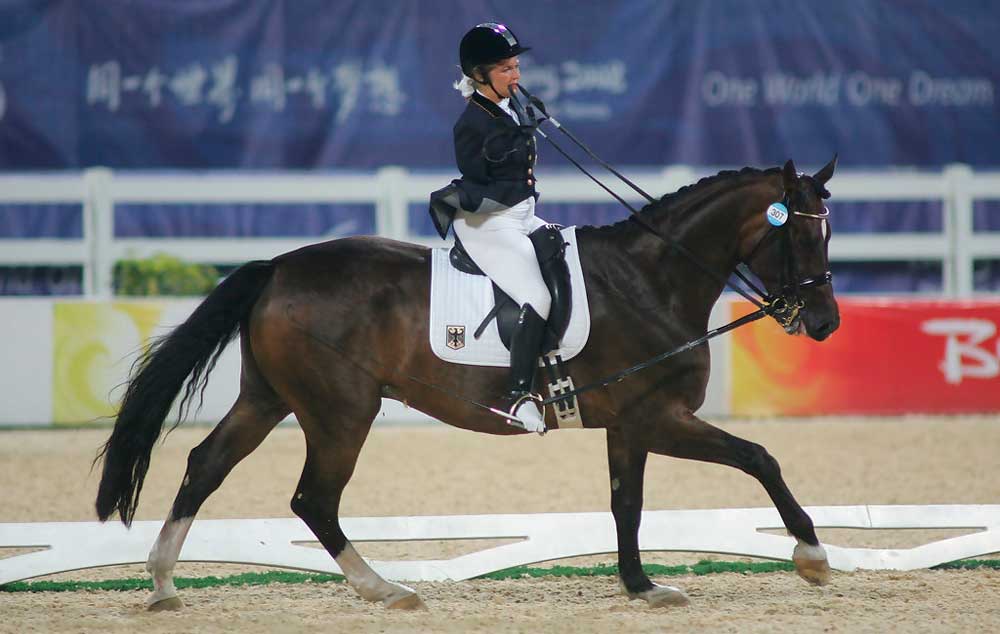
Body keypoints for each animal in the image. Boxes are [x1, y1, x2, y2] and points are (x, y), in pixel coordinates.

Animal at [95, 157, 844, 608]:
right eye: (802, 238)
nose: (826, 323)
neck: (651, 278)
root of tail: (276, 266)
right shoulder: (657, 415)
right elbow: (760, 458)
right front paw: (811, 554)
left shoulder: (630, 425)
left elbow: (625, 504)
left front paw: (640, 586)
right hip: (341, 412)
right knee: (313, 499)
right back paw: (385, 589)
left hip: (268, 397)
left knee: (204, 465)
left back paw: (162, 585)